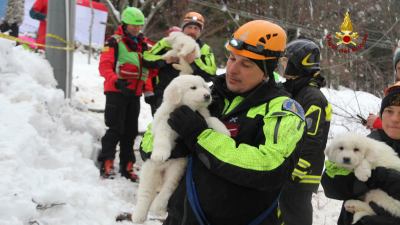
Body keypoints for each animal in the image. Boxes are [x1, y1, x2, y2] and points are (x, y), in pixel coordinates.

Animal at [132, 74, 231, 222]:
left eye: (204, 86)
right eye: (193, 88)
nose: (208, 95)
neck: (187, 108)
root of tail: (162, 171)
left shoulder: (201, 117)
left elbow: (212, 120)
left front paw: (224, 131)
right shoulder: (165, 122)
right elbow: (162, 137)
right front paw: (160, 154)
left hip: (176, 169)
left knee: (167, 189)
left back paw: (158, 207)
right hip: (149, 171)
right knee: (145, 193)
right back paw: (139, 215)